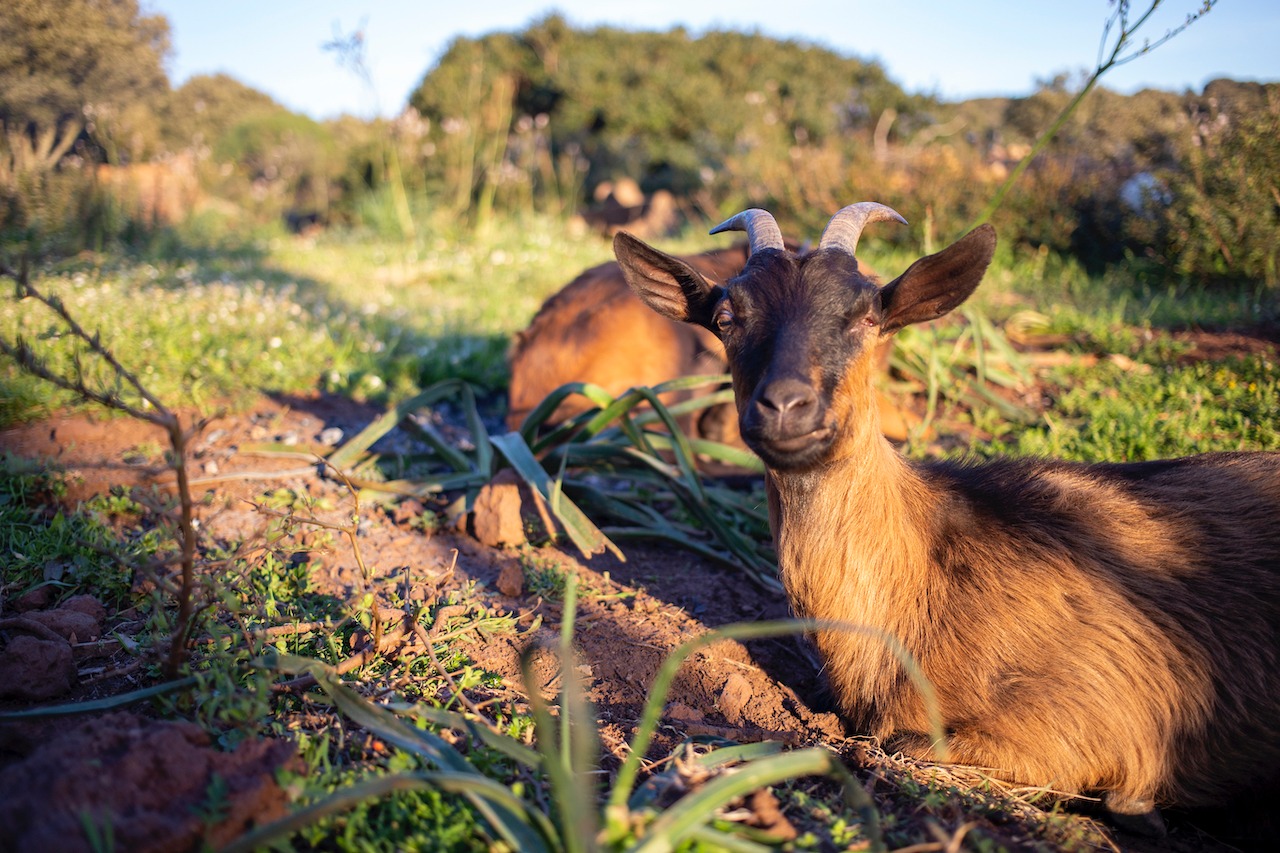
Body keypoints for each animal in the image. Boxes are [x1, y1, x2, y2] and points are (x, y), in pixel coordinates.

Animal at [611, 201, 1280, 829]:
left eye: (868, 317)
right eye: (726, 319)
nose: (784, 407)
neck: (920, 588)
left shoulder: (1090, 720)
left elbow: (906, 743)